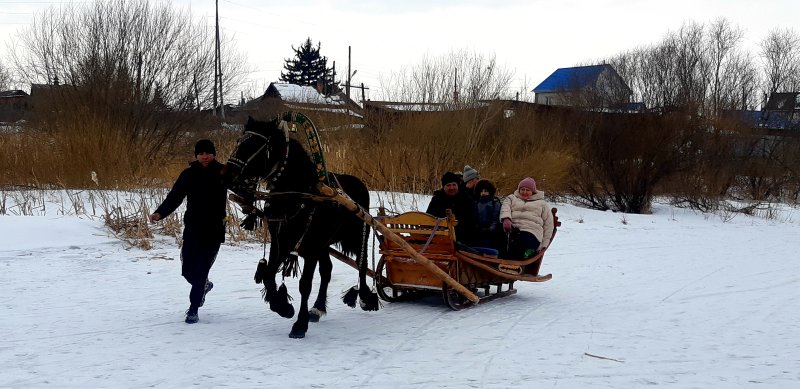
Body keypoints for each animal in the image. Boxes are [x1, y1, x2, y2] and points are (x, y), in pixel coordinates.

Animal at [220, 114, 380, 336]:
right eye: (238, 141)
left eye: (254, 145)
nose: (226, 175)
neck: (297, 194)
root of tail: (359, 183)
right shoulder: (281, 242)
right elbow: (268, 274)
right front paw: (282, 306)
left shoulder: (310, 247)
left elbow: (305, 284)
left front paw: (299, 324)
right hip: (324, 245)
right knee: (327, 270)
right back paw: (318, 308)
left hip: (357, 235)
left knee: (362, 264)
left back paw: (365, 297)